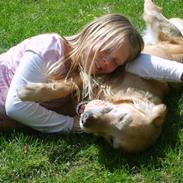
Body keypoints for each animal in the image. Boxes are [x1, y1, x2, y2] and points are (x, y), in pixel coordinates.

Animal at [17, 0, 183, 152]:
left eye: (110, 139)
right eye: (122, 117)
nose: (85, 119)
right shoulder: (98, 75)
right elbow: (66, 86)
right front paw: (28, 92)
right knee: (156, 16)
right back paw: (150, 4)